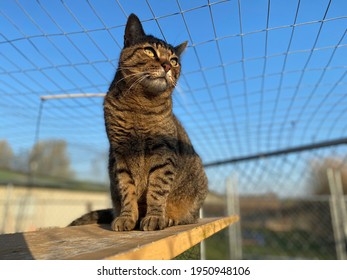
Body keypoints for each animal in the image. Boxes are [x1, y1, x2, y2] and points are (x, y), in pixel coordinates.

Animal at [69, 13, 208, 231]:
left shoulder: (163, 153)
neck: (140, 107)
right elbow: (127, 190)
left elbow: (157, 189)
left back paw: (170, 218)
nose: (167, 66)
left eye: (175, 60)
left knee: (189, 217)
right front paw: (127, 217)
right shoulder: (120, 153)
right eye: (150, 51)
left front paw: (155, 217)